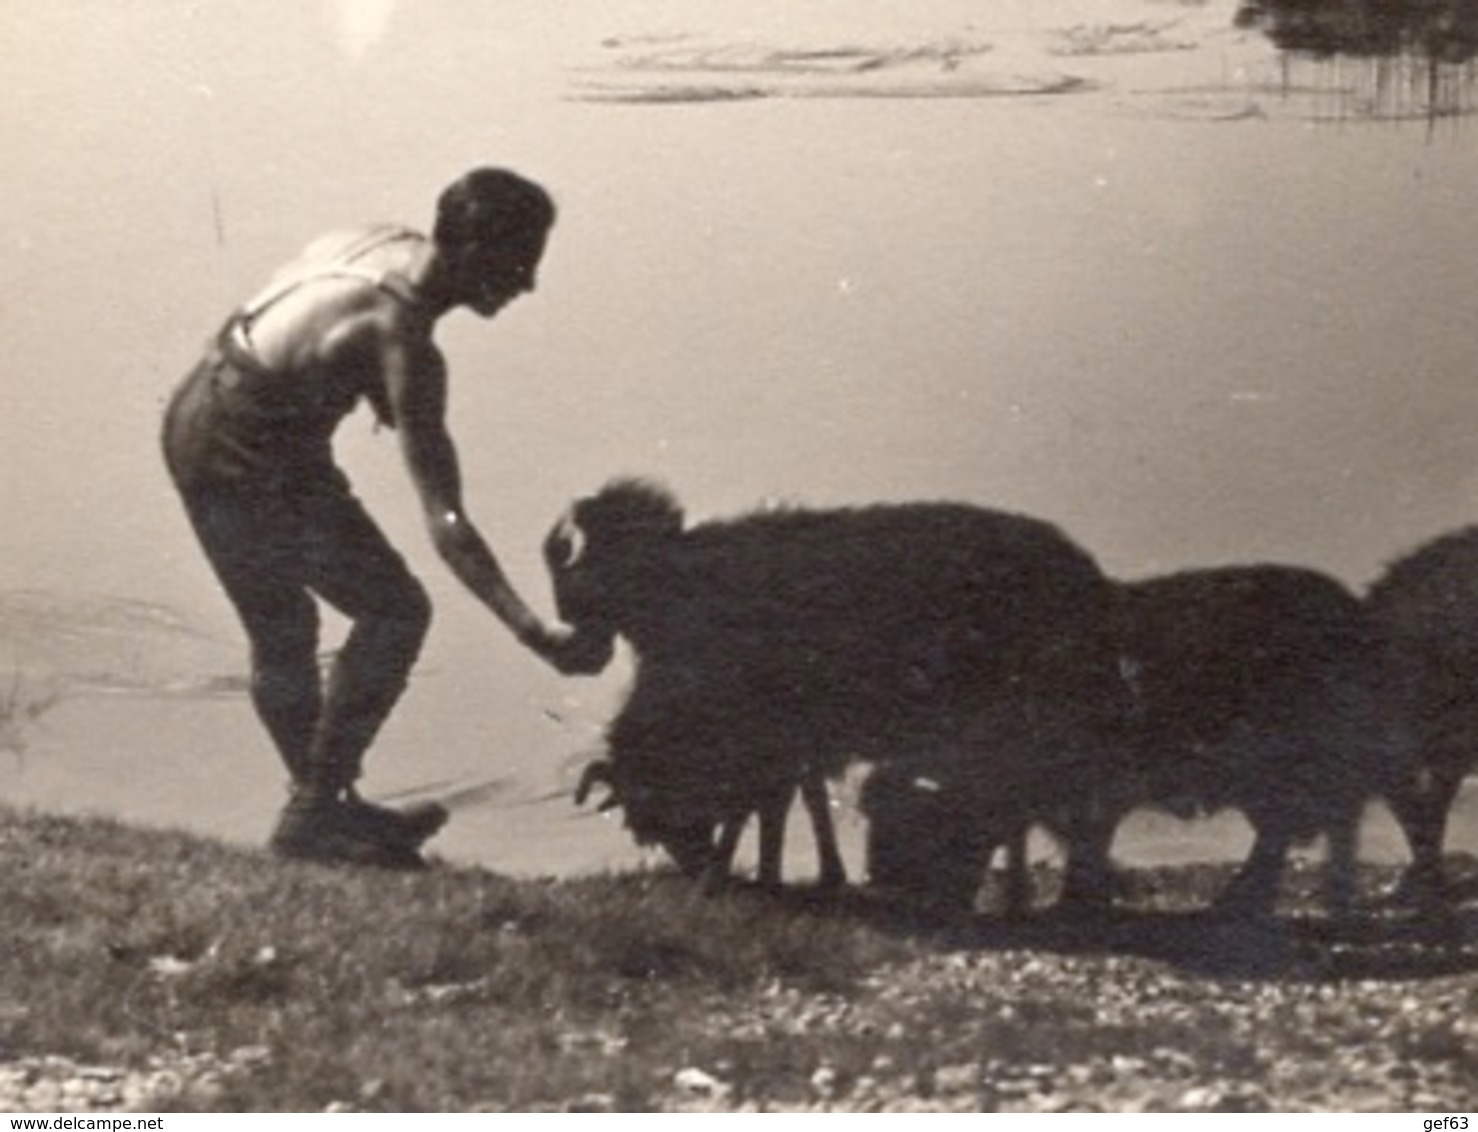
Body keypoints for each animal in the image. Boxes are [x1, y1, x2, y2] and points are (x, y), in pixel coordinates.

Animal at [549, 478, 1123, 898]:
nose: (691, 868)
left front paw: (749, 874)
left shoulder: (774, 737)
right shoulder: (798, 738)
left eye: (645, 817)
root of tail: (1088, 573)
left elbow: (762, 802)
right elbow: (797, 799)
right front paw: (796, 874)